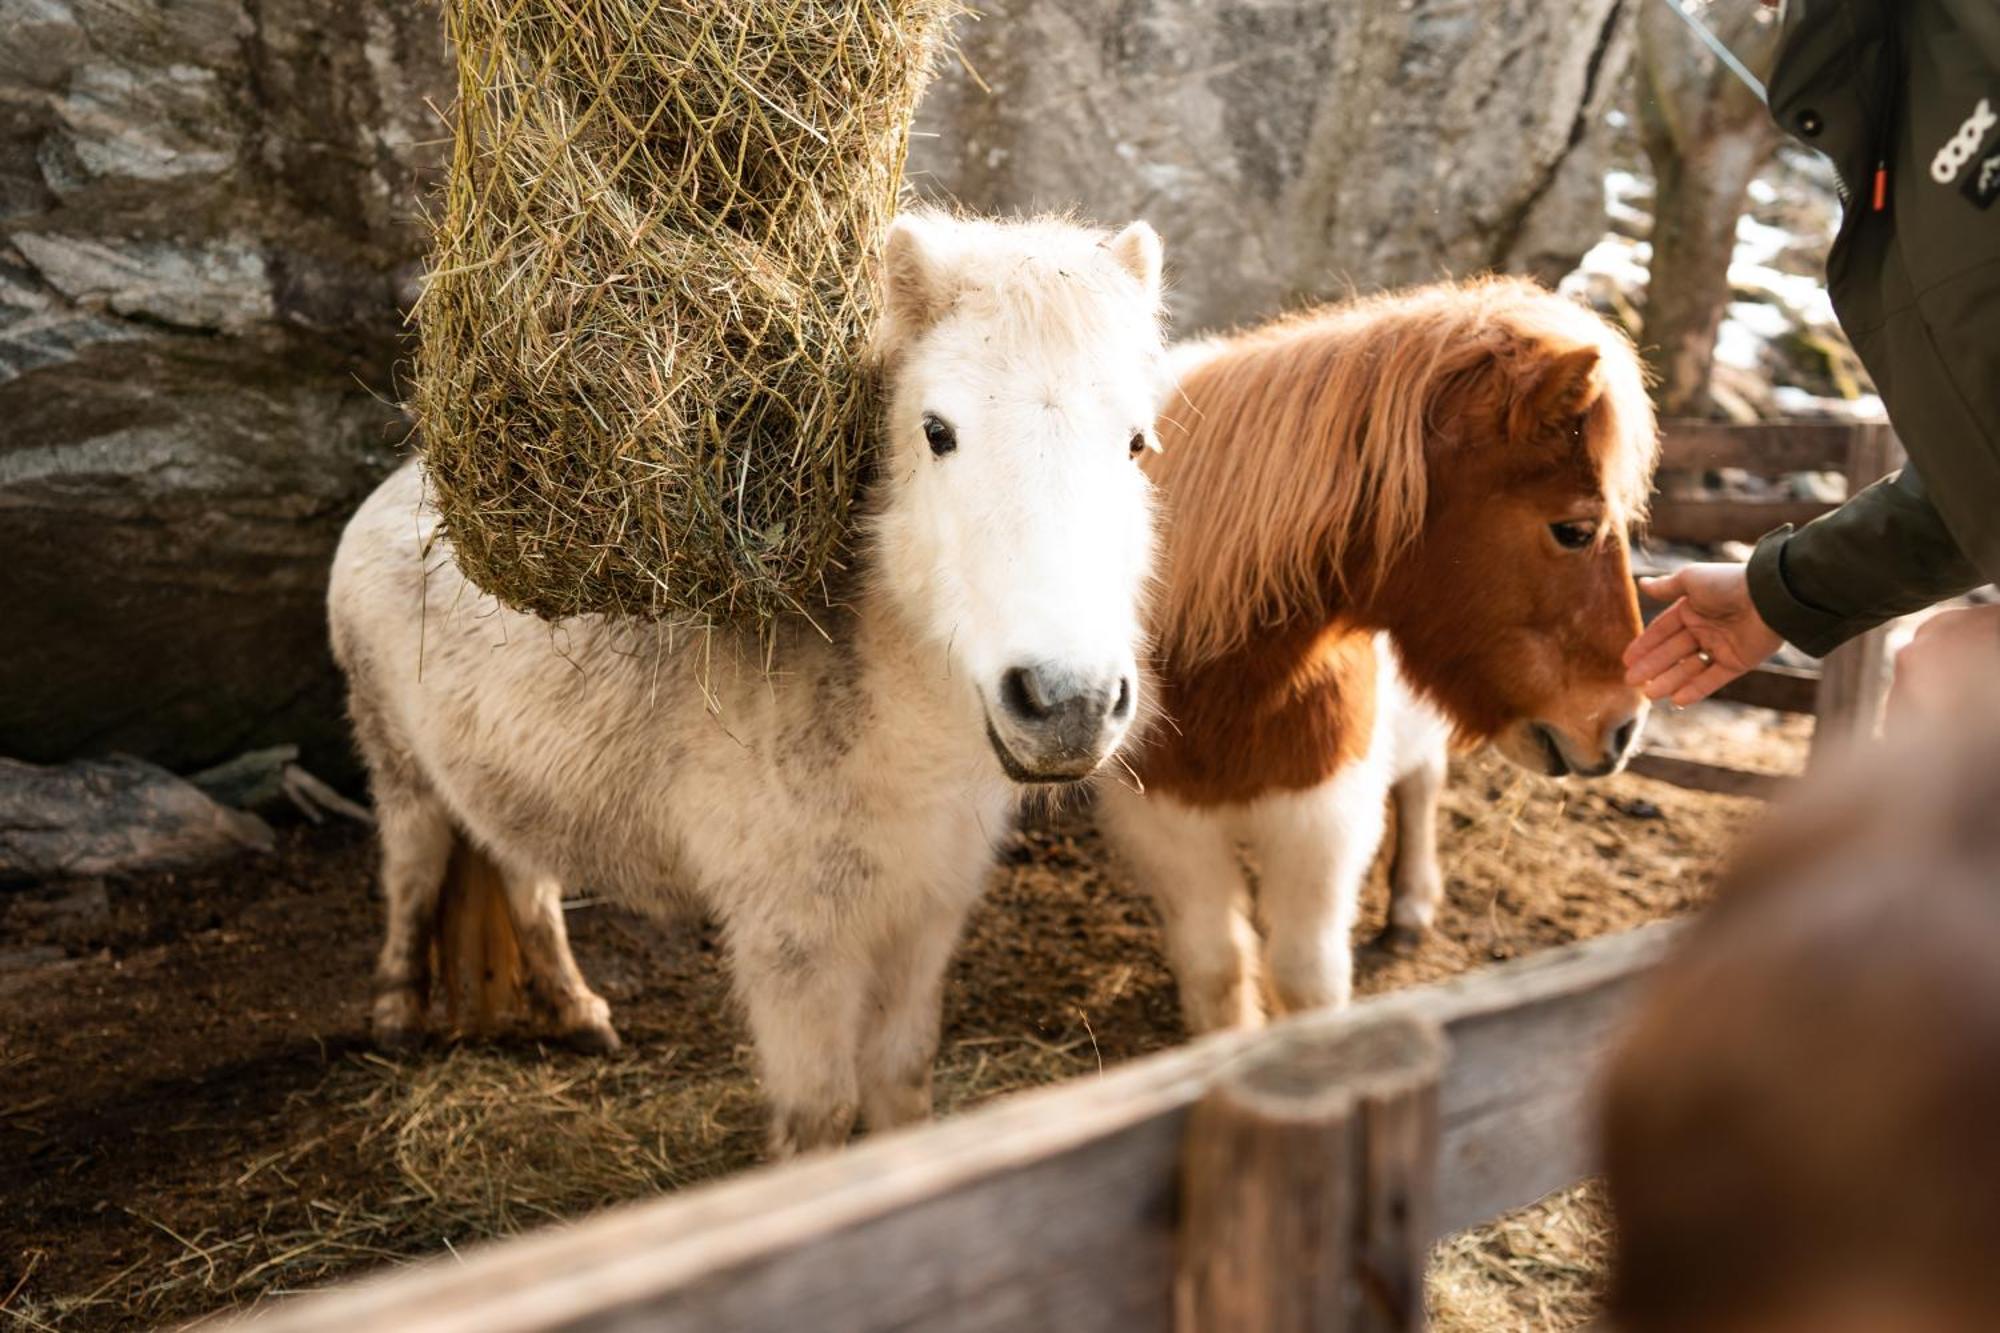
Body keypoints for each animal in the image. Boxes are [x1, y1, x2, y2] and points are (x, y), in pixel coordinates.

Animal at [334, 210, 1168, 1152]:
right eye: (937, 431)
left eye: (1135, 441)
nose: (1069, 704)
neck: (890, 726)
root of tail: (397, 490)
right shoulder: (793, 944)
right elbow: (819, 1117)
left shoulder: (922, 917)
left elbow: (903, 1084)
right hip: (399, 772)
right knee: (412, 875)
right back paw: (398, 1016)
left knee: (520, 871)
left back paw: (577, 1011)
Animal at [1096, 278, 1656, 1024]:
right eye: (1574, 530)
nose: (1623, 727)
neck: (1233, 678)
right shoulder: (1165, 824)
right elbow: (1216, 967)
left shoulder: (1322, 823)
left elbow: (1306, 975)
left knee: (1421, 784)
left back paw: (1412, 906)